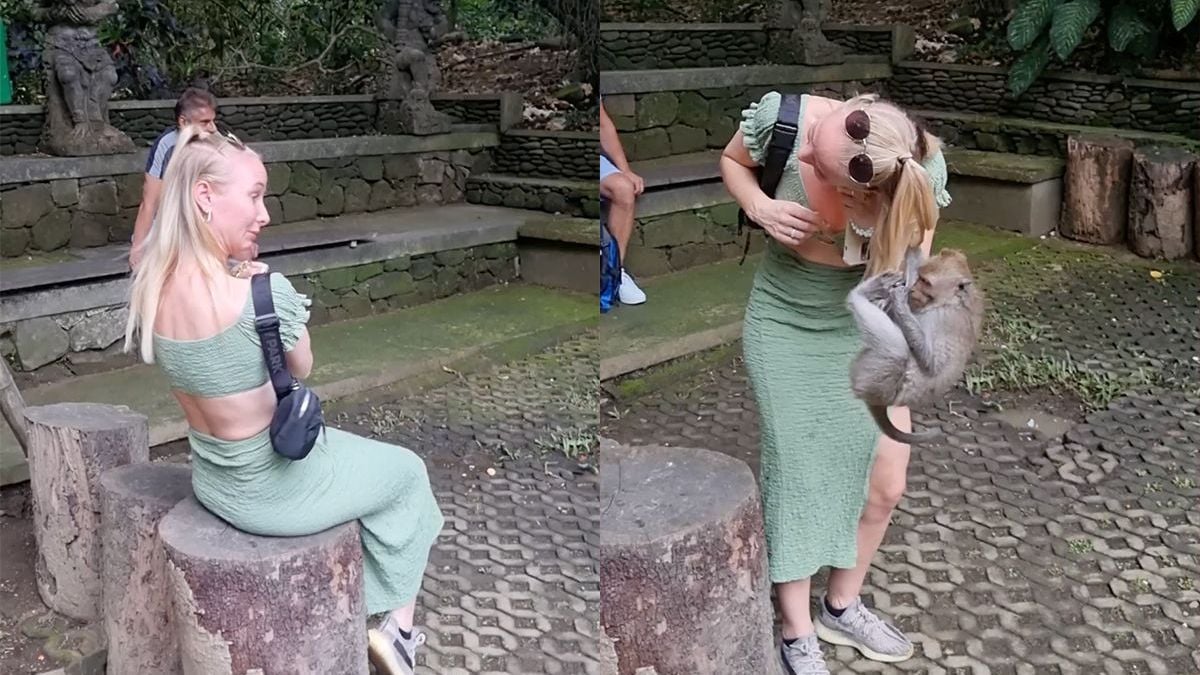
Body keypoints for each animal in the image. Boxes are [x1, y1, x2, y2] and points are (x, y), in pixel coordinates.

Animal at [844, 243, 984, 444]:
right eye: (921, 278)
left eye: (926, 282)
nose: (913, 290)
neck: (948, 301)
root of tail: (880, 402)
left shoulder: (946, 318)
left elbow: (932, 363)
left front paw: (899, 301)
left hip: (883, 385)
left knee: (896, 352)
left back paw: (859, 295)